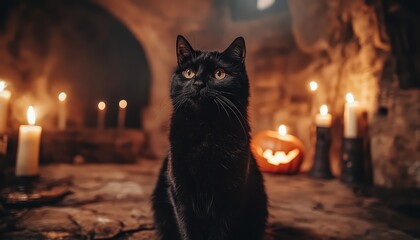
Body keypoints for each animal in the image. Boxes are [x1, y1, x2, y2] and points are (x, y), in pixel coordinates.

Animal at [153, 35, 268, 240]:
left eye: (219, 74)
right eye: (189, 73)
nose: (198, 84)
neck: (205, 130)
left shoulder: (231, 195)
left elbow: (221, 232)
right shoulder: (180, 192)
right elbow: (187, 229)